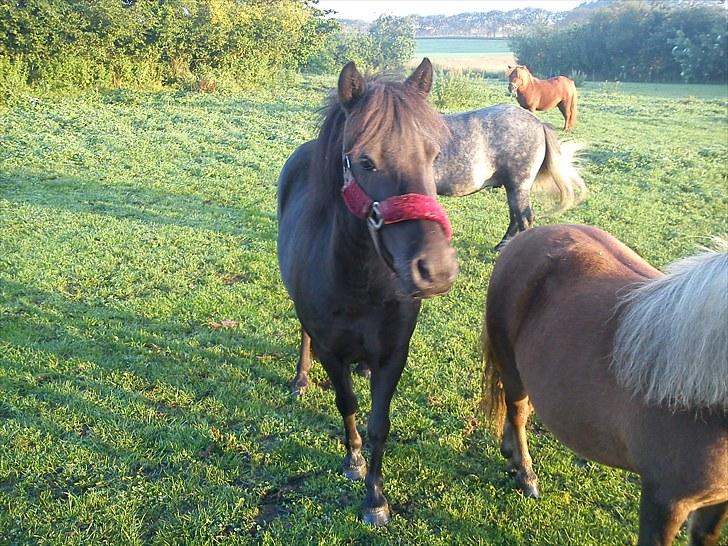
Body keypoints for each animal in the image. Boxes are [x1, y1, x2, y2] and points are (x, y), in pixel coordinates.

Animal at [276, 58, 458, 524]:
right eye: (365, 161)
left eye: (433, 156)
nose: (437, 270)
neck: (361, 283)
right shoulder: (331, 351)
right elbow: (348, 405)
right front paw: (354, 461)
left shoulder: (394, 353)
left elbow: (380, 422)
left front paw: (375, 496)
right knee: (302, 333)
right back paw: (301, 379)